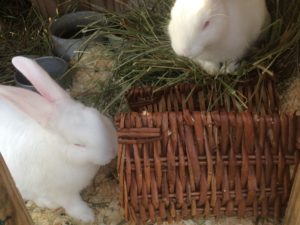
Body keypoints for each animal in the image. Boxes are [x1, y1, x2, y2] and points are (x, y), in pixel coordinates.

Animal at [0, 56, 118, 223]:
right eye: (77, 144)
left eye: (97, 115)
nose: (112, 151)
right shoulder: (63, 194)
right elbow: (74, 205)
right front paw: (88, 217)